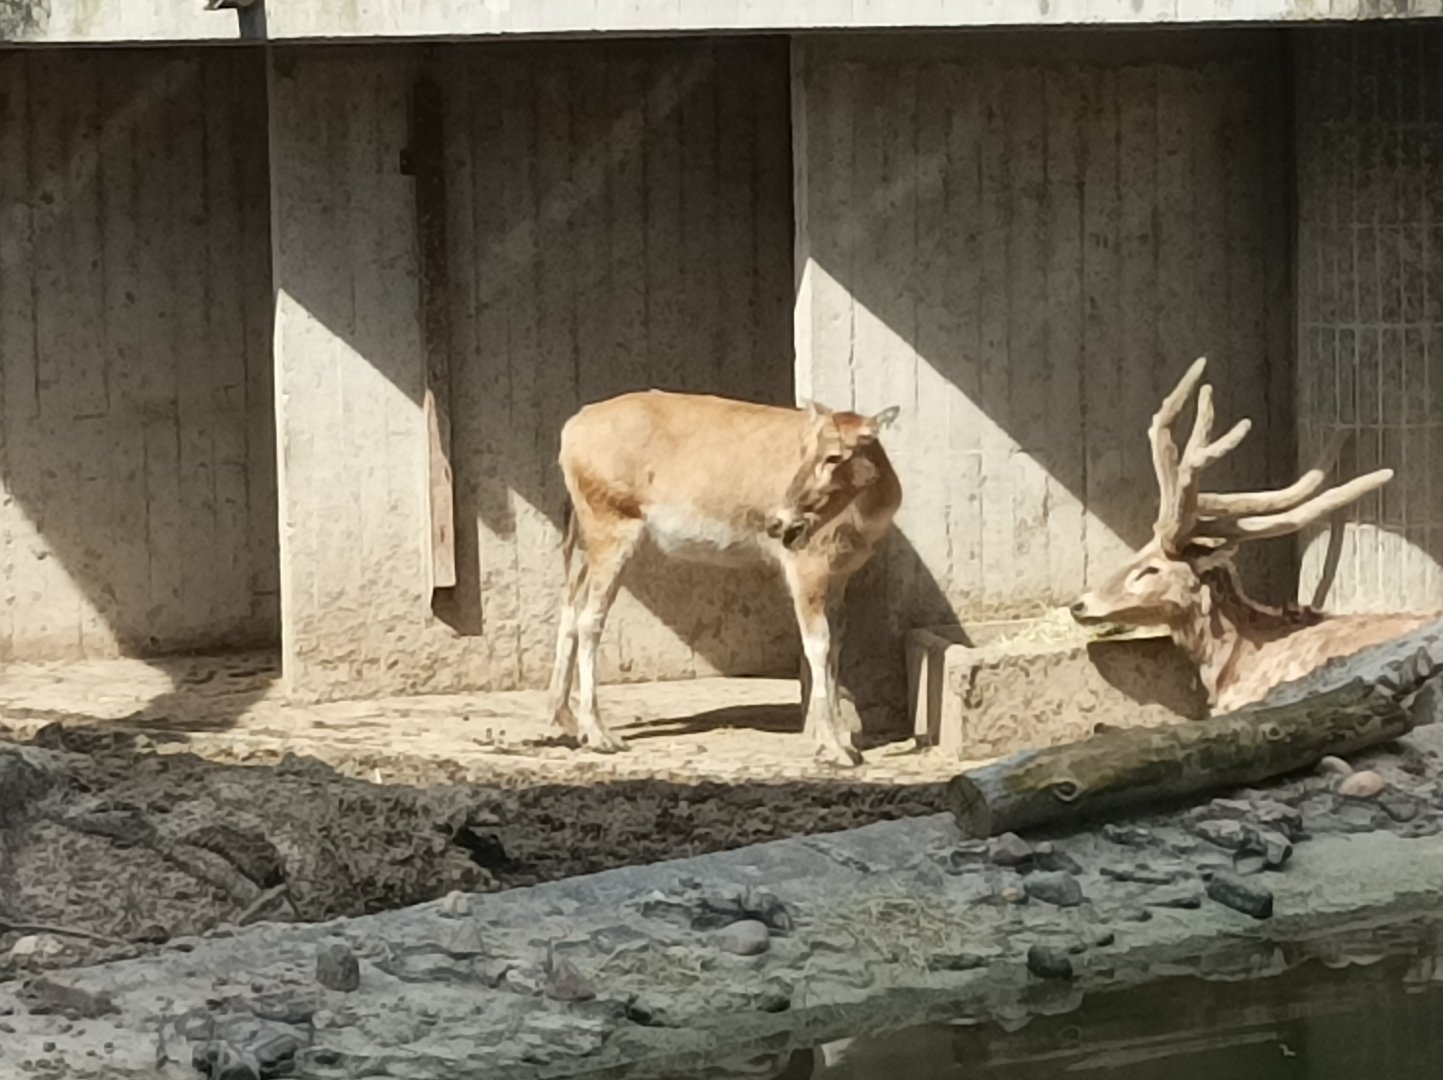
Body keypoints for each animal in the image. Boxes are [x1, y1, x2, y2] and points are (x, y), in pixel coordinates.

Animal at [545, 390, 903, 767]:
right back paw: (599, 734)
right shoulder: (807, 565)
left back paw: (566, 719)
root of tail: (572, 429)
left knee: (571, 604)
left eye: (835, 455)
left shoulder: (841, 574)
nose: (780, 523)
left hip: (586, 541)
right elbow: (818, 644)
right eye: (806, 450)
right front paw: (833, 747)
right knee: (590, 618)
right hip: (612, 526)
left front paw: (846, 741)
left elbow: (836, 645)